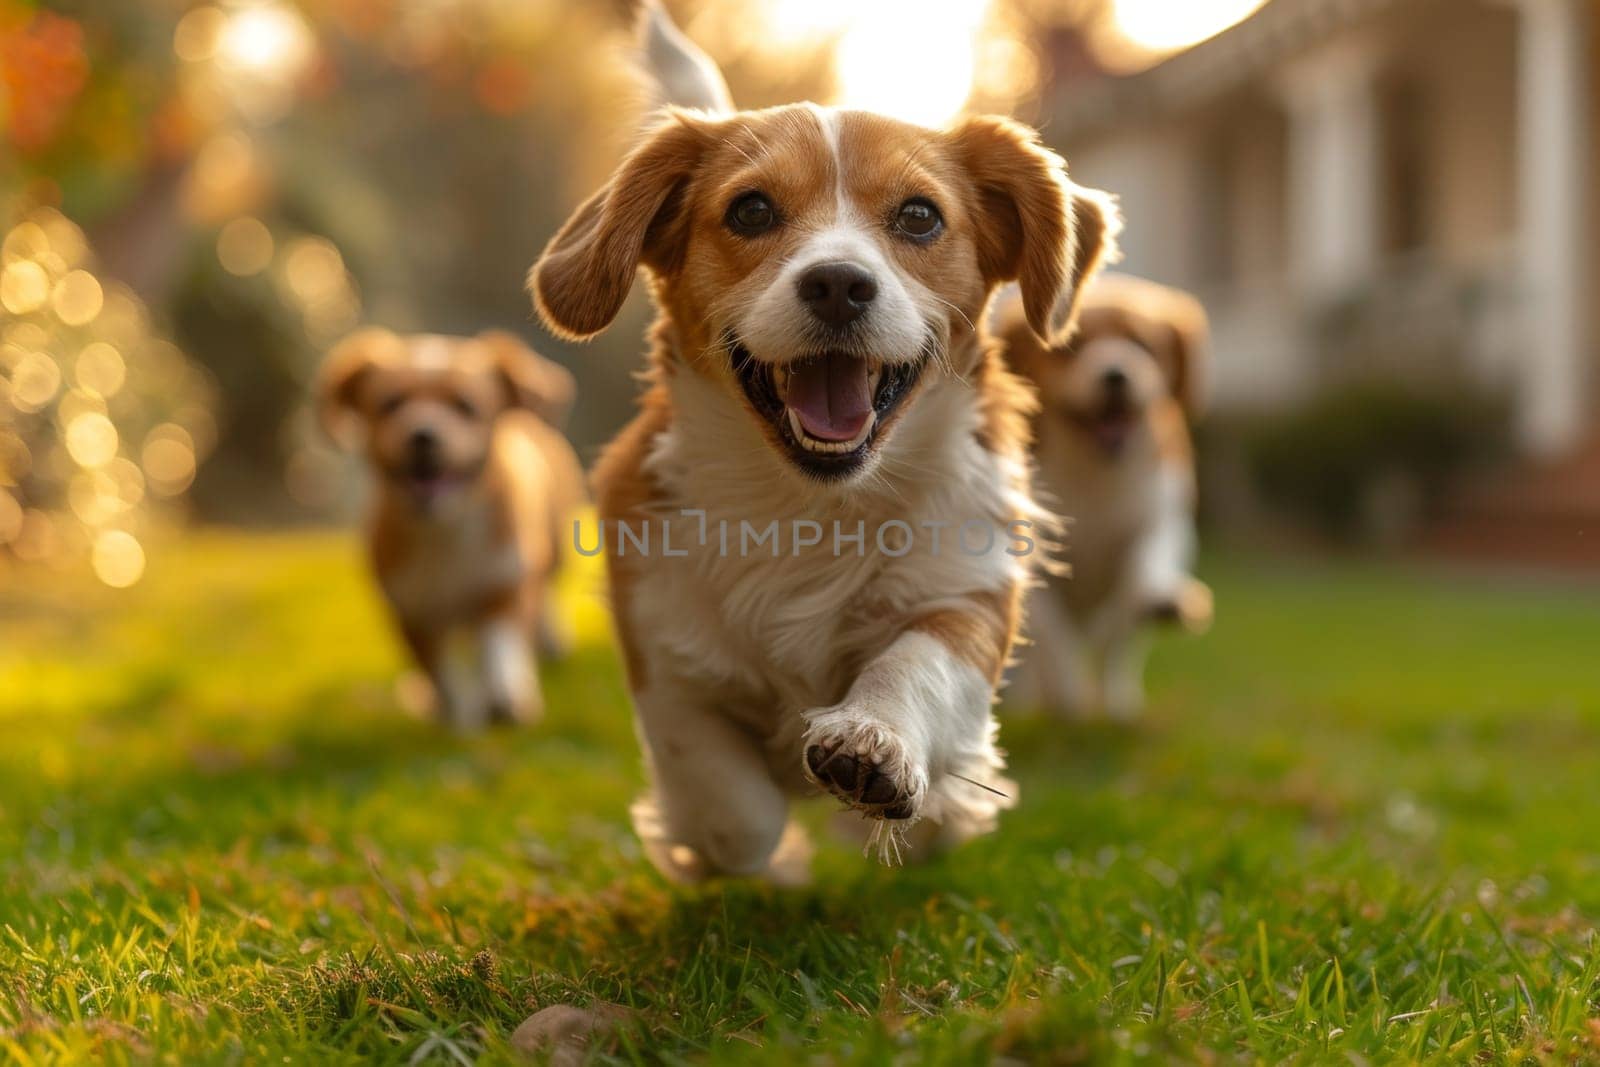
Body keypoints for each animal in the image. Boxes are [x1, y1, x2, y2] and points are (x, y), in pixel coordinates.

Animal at [315, 329, 585, 729]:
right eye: (391, 404)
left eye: (465, 406)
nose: (422, 435)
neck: (445, 527)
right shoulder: (410, 610)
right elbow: (438, 669)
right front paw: (460, 714)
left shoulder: (503, 581)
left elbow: (499, 641)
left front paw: (506, 696)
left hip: (552, 549)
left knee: (544, 596)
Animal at [531, 12, 1120, 883]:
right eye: (750, 211)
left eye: (919, 216)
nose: (839, 282)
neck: (811, 506)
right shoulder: (661, 650)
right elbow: (733, 810)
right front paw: (737, 851)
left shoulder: (965, 592)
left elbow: (916, 664)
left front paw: (881, 751)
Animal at [998, 275, 1209, 723]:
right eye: (1070, 347)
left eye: (1143, 344)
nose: (1116, 374)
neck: (1096, 469)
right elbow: (1056, 642)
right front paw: (1070, 704)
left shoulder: (1162, 513)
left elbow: (1149, 556)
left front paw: (1161, 597)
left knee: (1118, 644)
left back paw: (1118, 705)